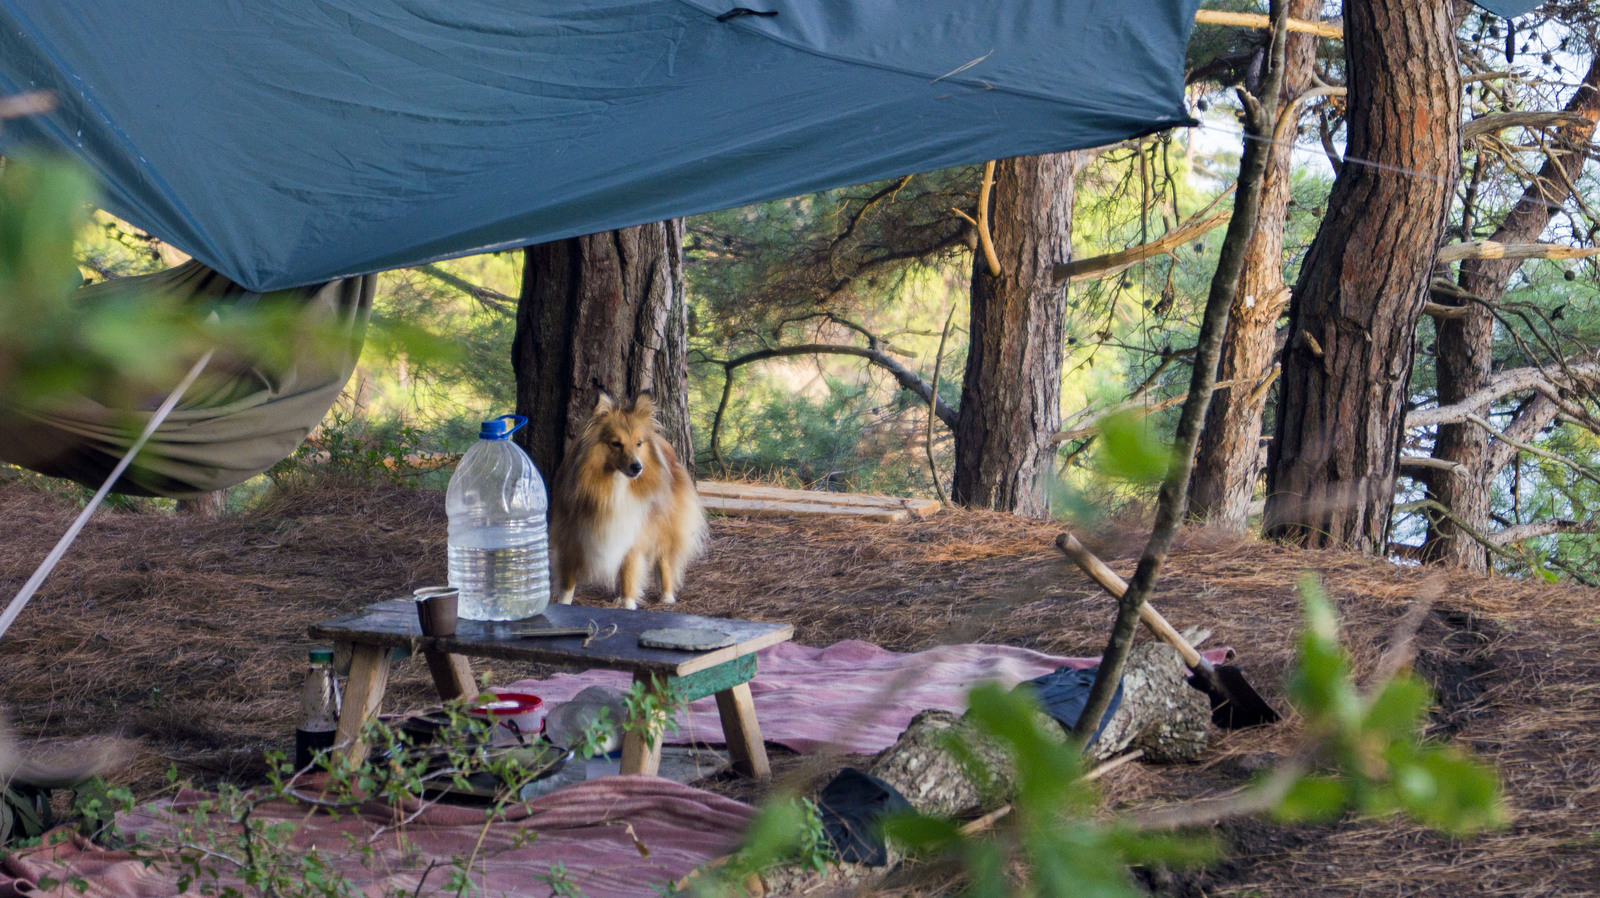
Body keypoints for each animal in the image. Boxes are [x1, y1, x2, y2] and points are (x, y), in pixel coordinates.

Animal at [550, 390, 707, 608]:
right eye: (616, 443)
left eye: (639, 443)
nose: (637, 467)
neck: (615, 483)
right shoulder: (571, 535)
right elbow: (567, 579)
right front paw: (564, 603)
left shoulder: (634, 534)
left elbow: (629, 573)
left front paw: (628, 604)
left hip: (664, 529)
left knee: (665, 561)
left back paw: (667, 597)